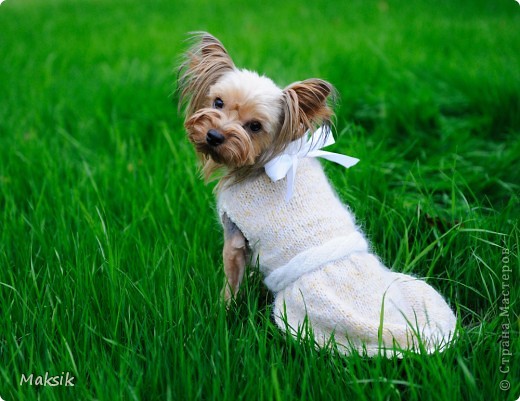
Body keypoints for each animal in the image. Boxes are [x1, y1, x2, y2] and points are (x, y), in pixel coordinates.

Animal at [178, 32, 456, 354]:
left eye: (255, 126)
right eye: (218, 102)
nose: (214, 136)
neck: (264, 163)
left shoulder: (234, 238)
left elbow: (230, 284)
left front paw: (221, 313)